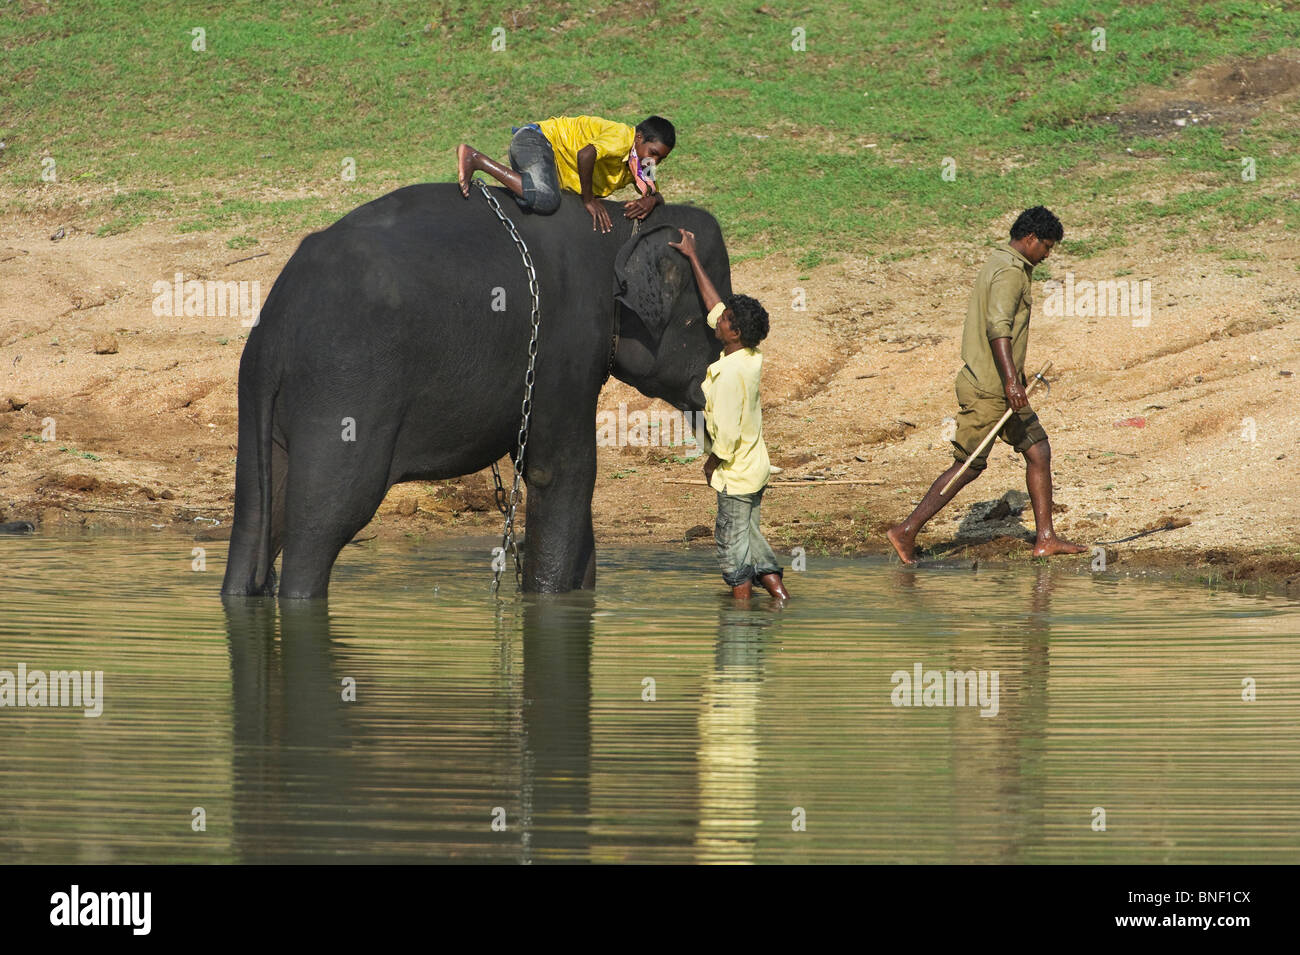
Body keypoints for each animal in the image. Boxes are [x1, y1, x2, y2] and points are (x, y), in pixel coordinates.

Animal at [223, 184, 733, 597]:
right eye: (717, 312)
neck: (618, 224)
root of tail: (276, 329)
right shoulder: (564, 347)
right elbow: (563, 472)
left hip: (258, 399)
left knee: (254, 516)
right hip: (345, 391)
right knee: (325, 518)